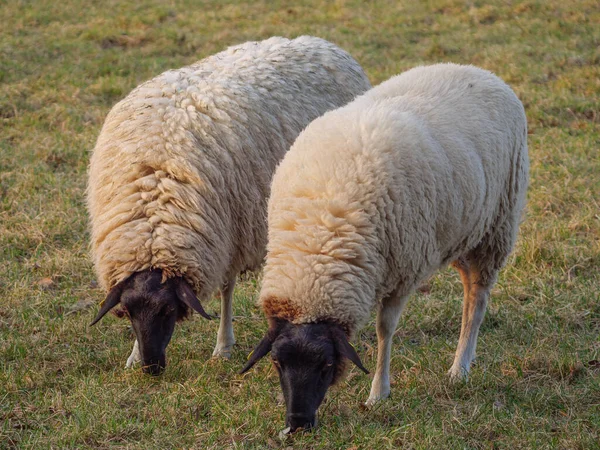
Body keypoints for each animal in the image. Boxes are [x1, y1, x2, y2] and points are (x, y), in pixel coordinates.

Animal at [88, 35, 370, 374]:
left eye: (167, 311)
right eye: (129, 312)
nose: (152, 367)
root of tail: (324, 43)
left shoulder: (232, 232)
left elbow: (227, 289)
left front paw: (223, 347)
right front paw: (133, 356)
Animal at [241, 61, 528, 430]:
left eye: (327, 365)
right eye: (278, 364)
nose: (299, 423)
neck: (318, 245)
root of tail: (478, 70)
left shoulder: (403, 269)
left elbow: (384, 330)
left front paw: (378, 392)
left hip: (497, 226)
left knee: (476, 300)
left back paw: (460, 367)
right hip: (464, 228)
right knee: (468, 290)